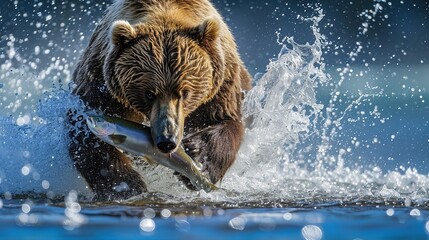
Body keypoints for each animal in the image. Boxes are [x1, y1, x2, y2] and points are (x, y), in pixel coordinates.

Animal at [67, 0, 251, 201]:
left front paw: (198, 156)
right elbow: (84, 133)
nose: (167, 140)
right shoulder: (100, 83)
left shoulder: (222, 85)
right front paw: (127, 186)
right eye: (149, 93)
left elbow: (227, 121)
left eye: (185, 93)